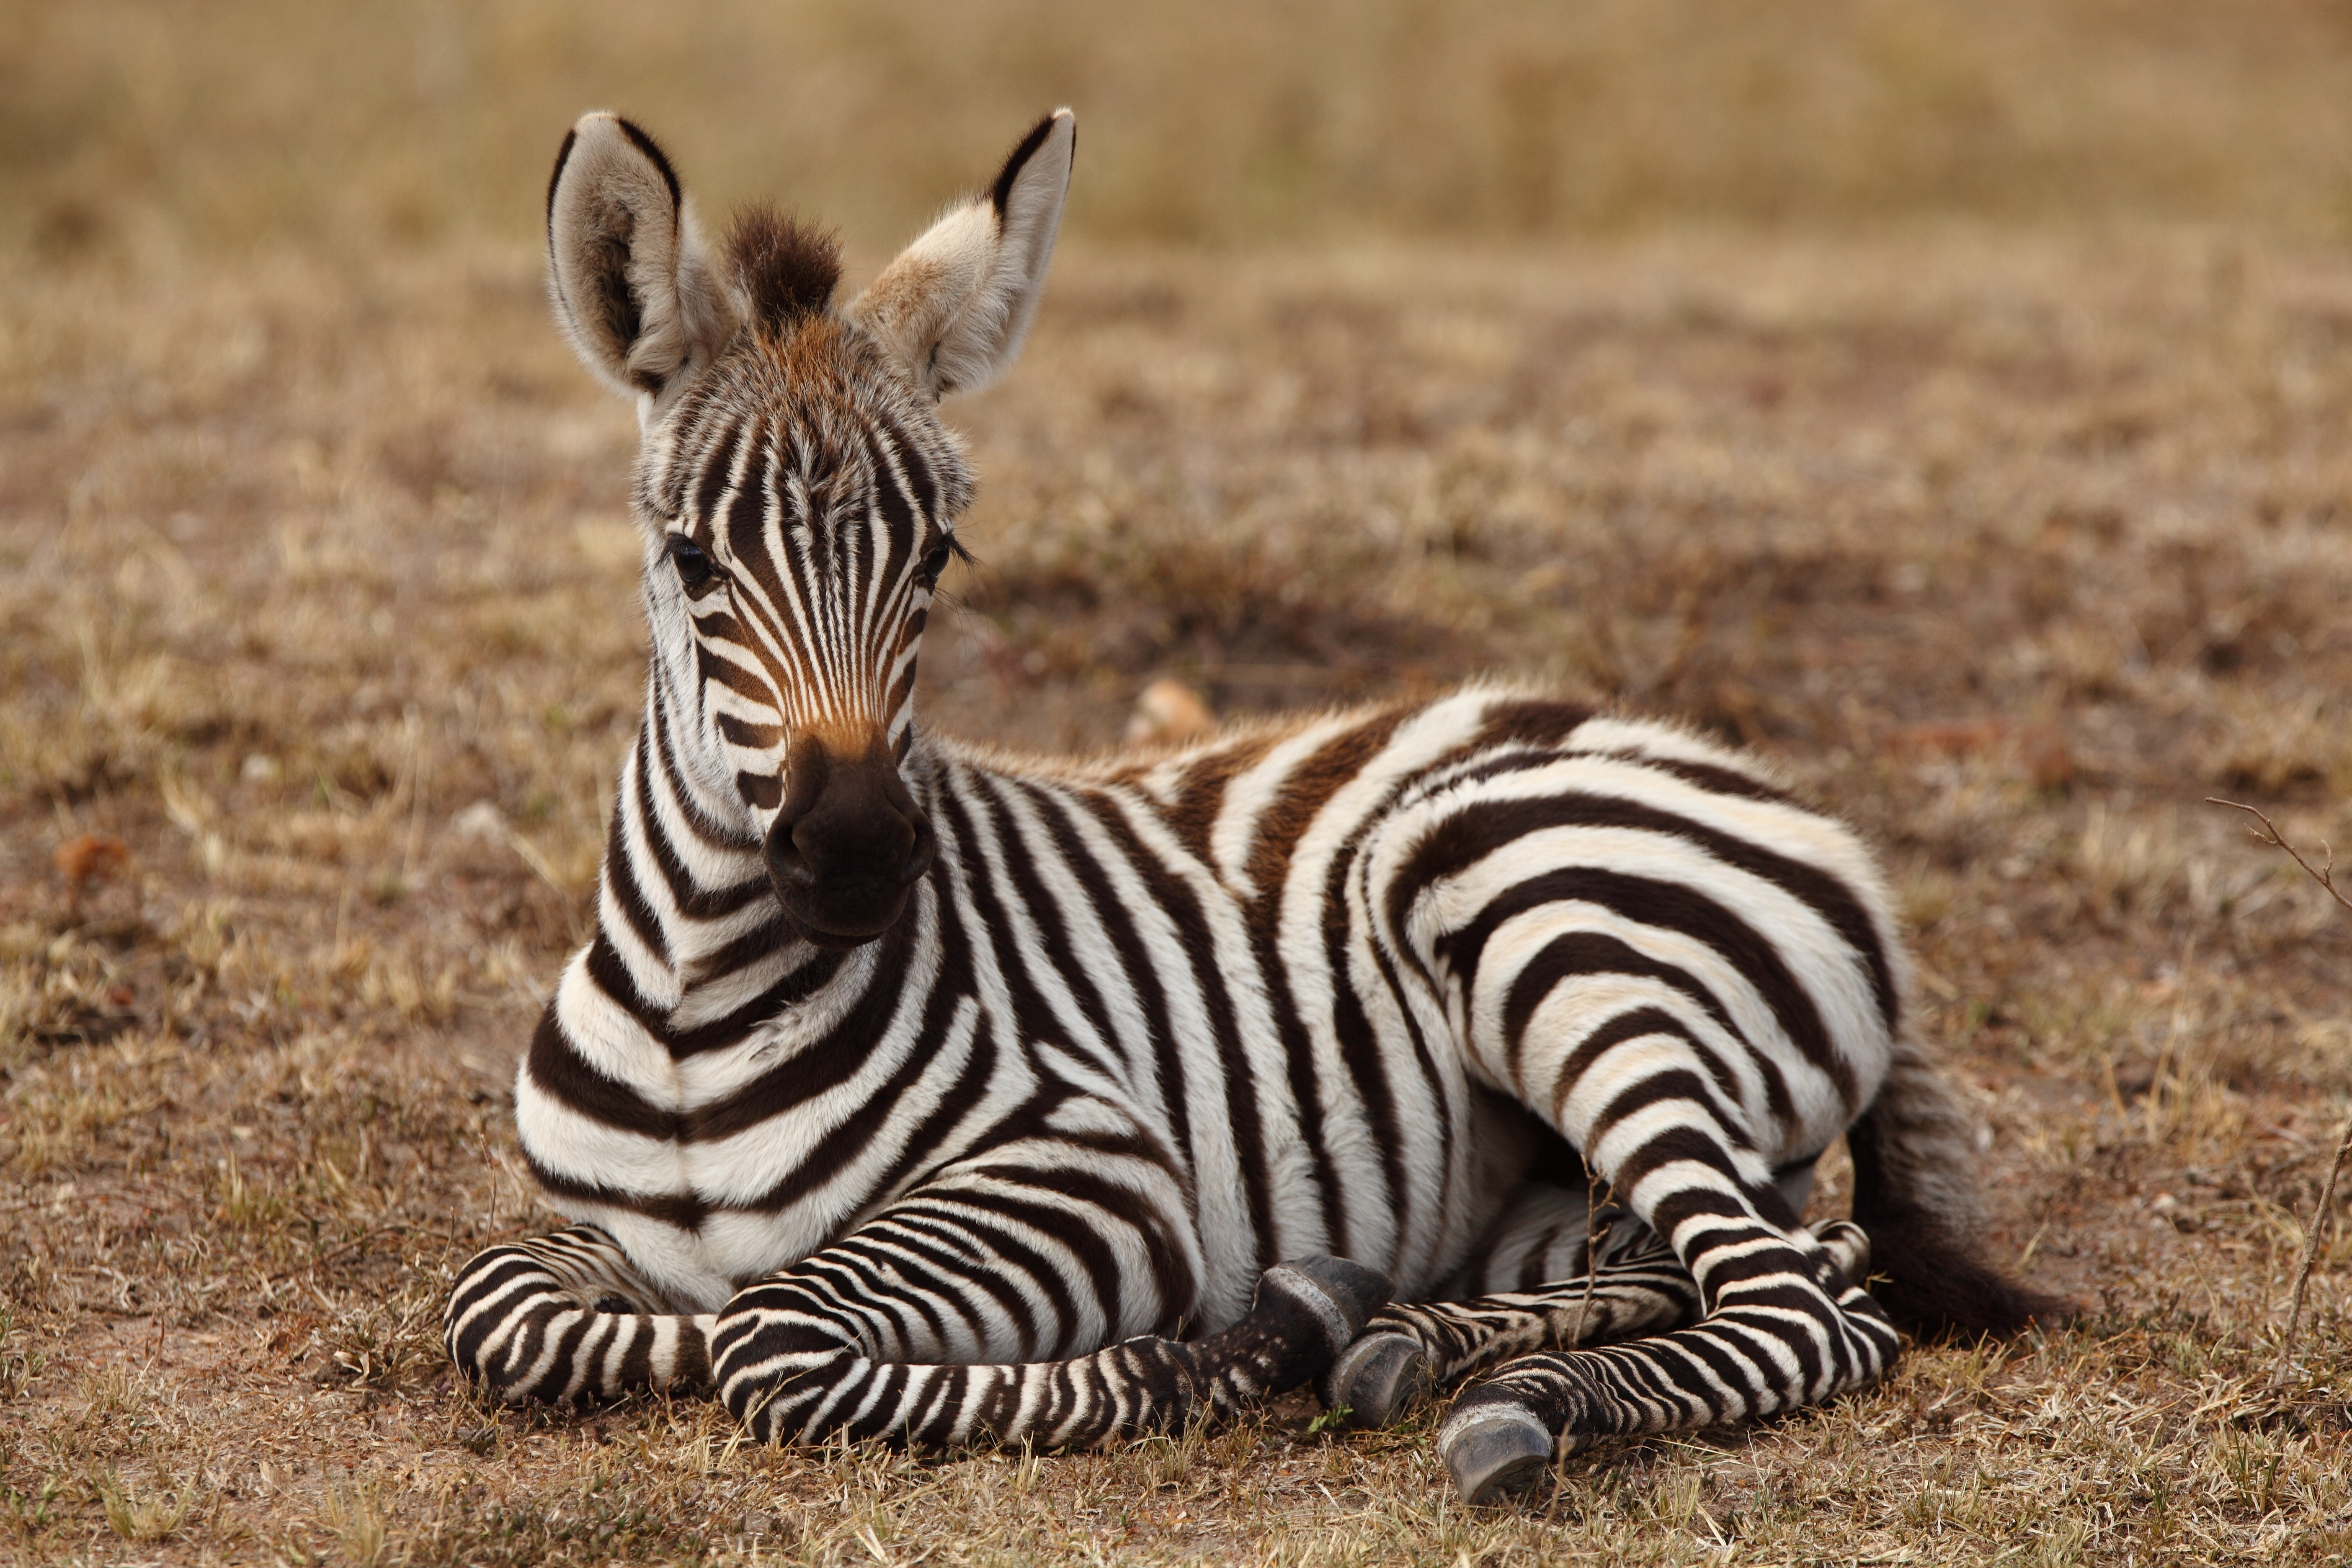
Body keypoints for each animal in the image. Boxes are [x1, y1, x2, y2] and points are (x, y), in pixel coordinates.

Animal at [444, 106, 2065, 1503]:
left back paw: (1508, 1402)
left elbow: (769, 1337)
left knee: (1802, 1312)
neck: (696, 1002)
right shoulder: (581, 1234)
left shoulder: (1096, 1172)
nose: (852, 857)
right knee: (1772, 1259)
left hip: (1532, 912)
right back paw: (1409, 1341)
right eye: (690, 559)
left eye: (940, 559)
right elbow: (508, 1305)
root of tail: (1746, 778)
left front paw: (1228, 1349)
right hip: (1561, 1182)